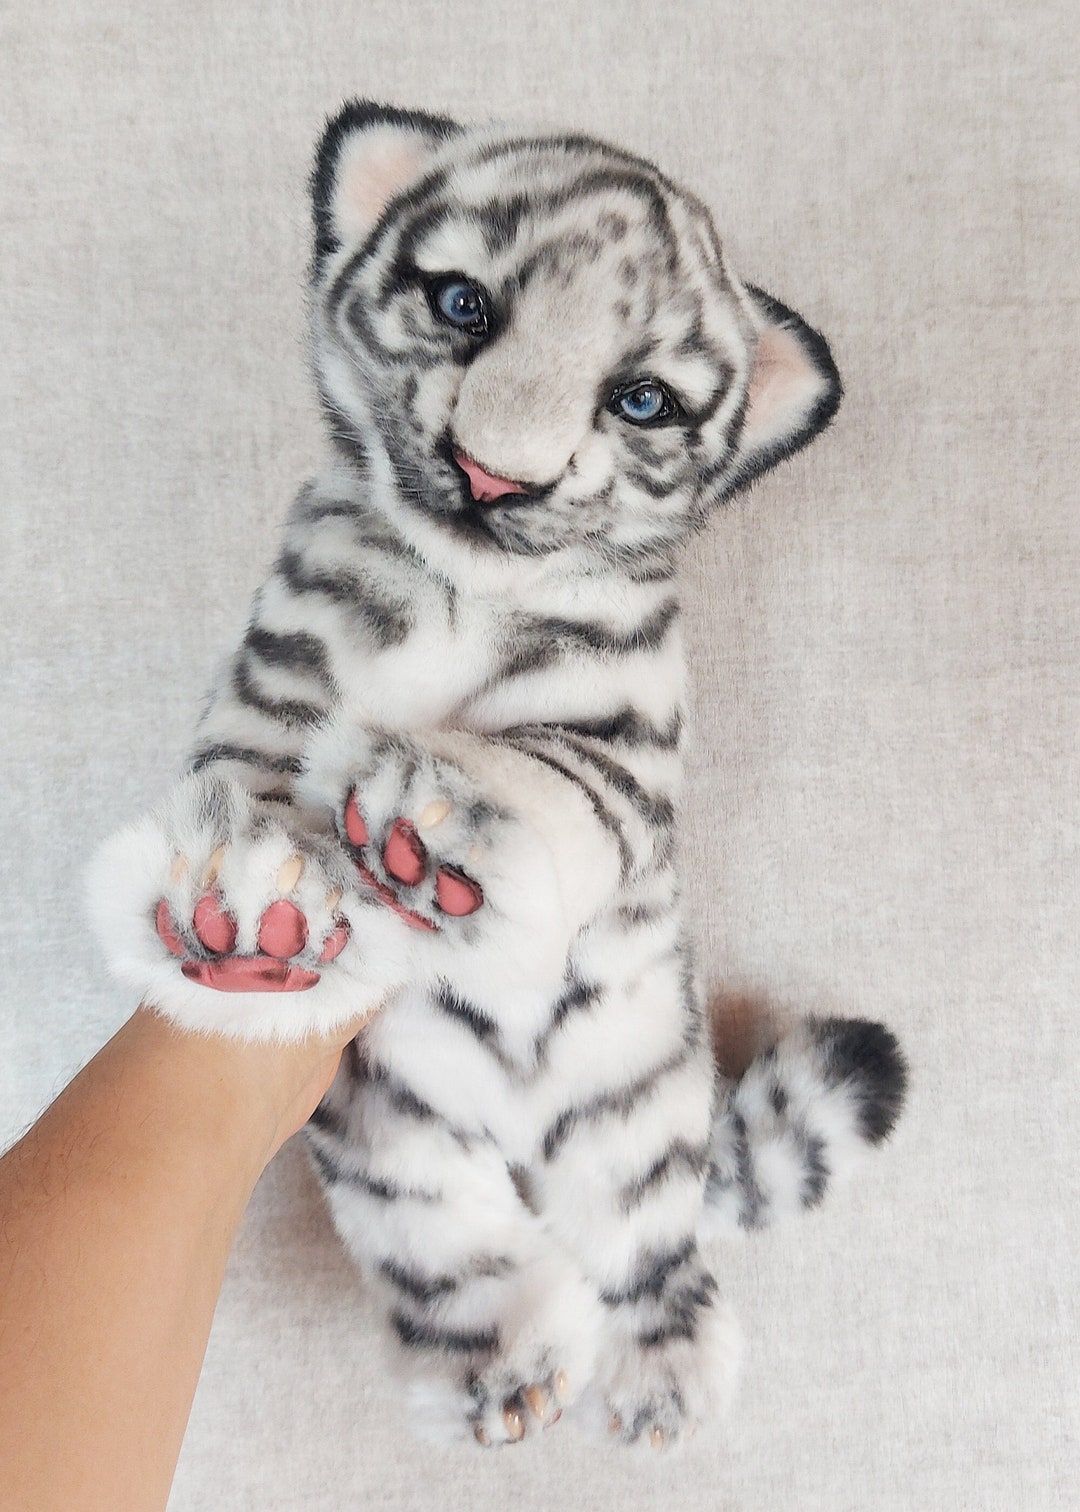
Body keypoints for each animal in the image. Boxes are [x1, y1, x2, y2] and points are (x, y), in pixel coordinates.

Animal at [89, 100, 907, 1449]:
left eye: (641, 398)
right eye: (464, 302)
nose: (494, 475)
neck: (459, 586)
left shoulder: (619, 749)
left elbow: (542, 779)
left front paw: (428, 813)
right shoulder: (270, 687)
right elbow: (239, 784)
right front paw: (235, 901)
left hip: (637, 1123)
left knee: (650, 1256)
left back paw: (660, 1385)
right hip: (392, 1151)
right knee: (460, 1261)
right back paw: (501, 1377)